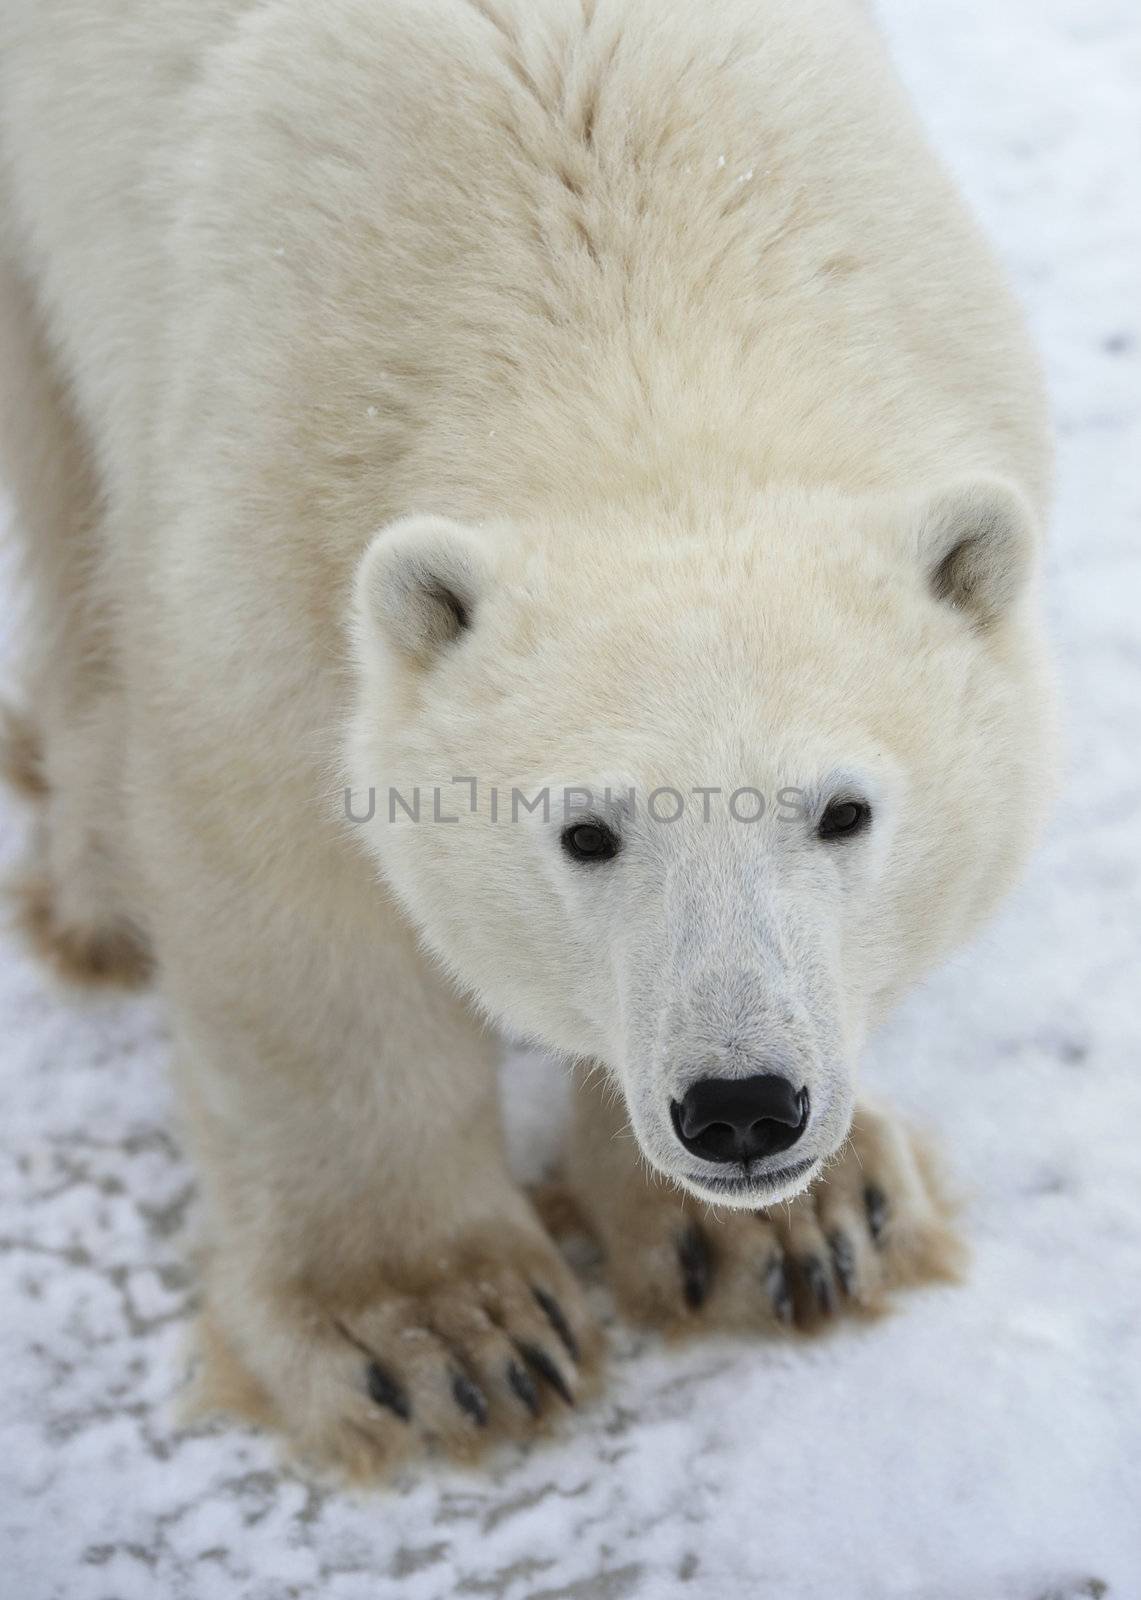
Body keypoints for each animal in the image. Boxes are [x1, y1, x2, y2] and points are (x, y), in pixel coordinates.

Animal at [0, 0, 1049, 1472]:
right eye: (585, 832)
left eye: (844, 810)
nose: (742, 1108)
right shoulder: (268, 514)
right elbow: (294, 906)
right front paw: (446, 1335)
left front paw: (804, 1230)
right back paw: (99, 889)